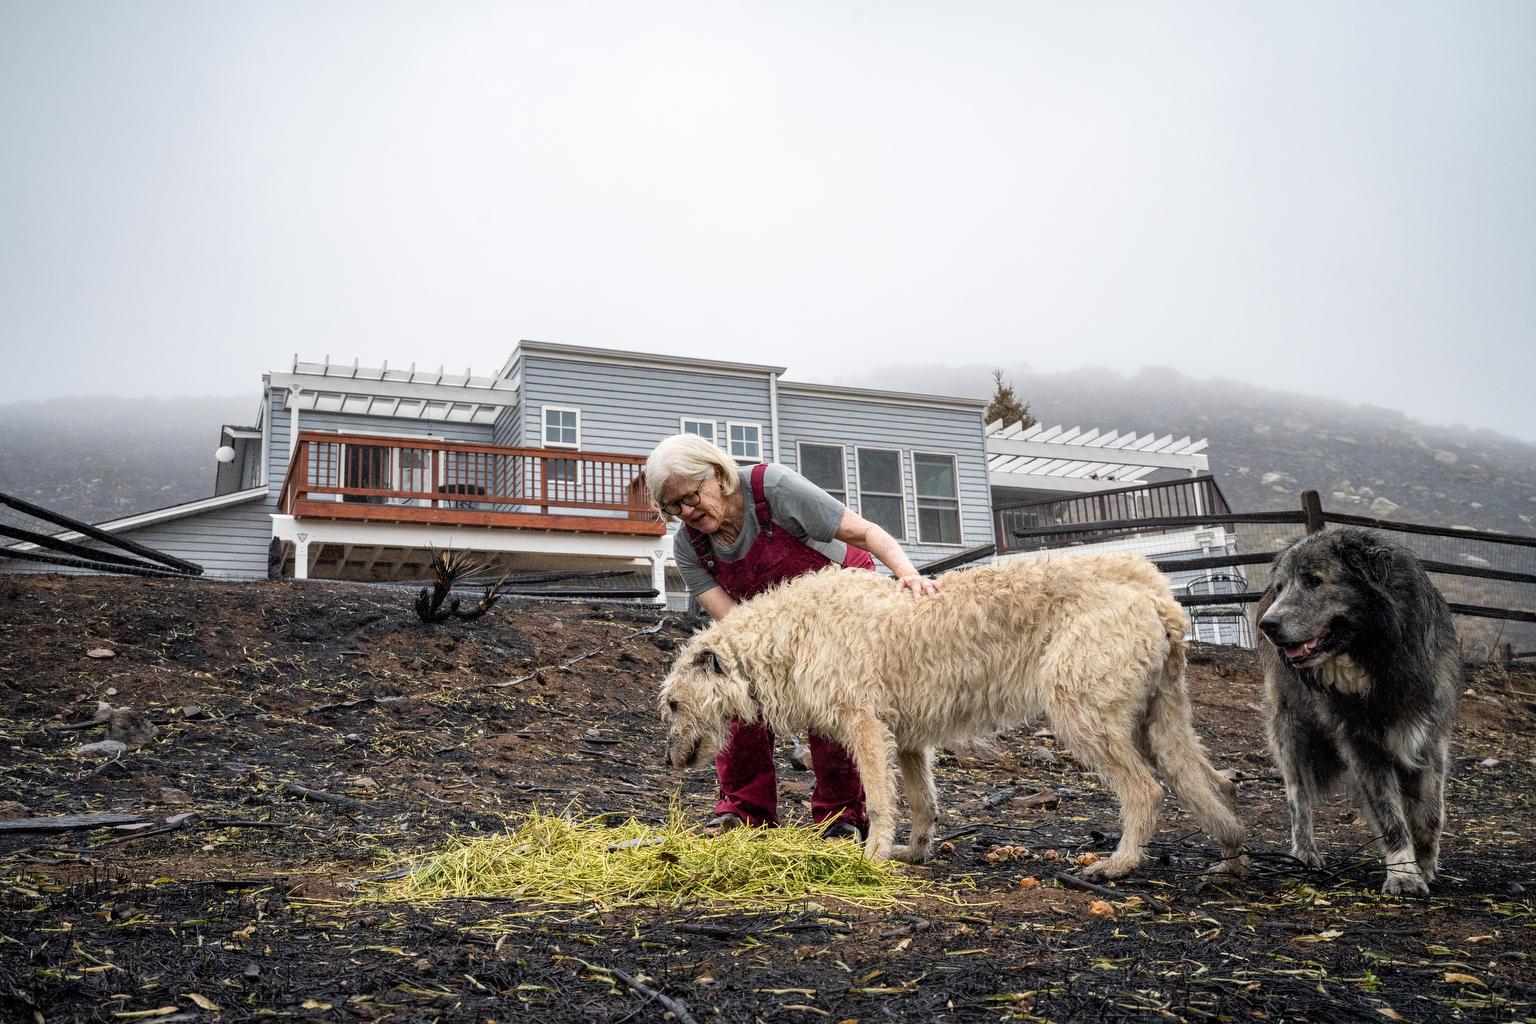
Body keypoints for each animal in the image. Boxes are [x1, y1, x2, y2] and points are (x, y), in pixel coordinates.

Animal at [660, 552, 1247, 884]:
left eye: (671, 704)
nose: (669, 759)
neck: (790, 634)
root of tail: (1154, 592)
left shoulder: (866, 726)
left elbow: (880, 800)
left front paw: (872, 855)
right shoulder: (907, 741)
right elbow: (922, 801)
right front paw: (913, 853)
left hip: (1085, 712)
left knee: (1146, 790)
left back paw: (1119, 864)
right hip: (1158, 716)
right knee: (1206, 780)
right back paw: (1229, 852)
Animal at [1259, 534, 1462, 890]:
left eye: (1313, 581)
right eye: (1281, 587)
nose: (1267, 624)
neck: (1375, 657)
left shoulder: (1430, 735)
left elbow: (1430, 813)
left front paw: (1425, 865)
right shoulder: (1362, 744)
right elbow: (1389, 815)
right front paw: (1403, 873)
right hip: (1290, 730)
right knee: (1298, 796)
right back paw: (1305, 851)